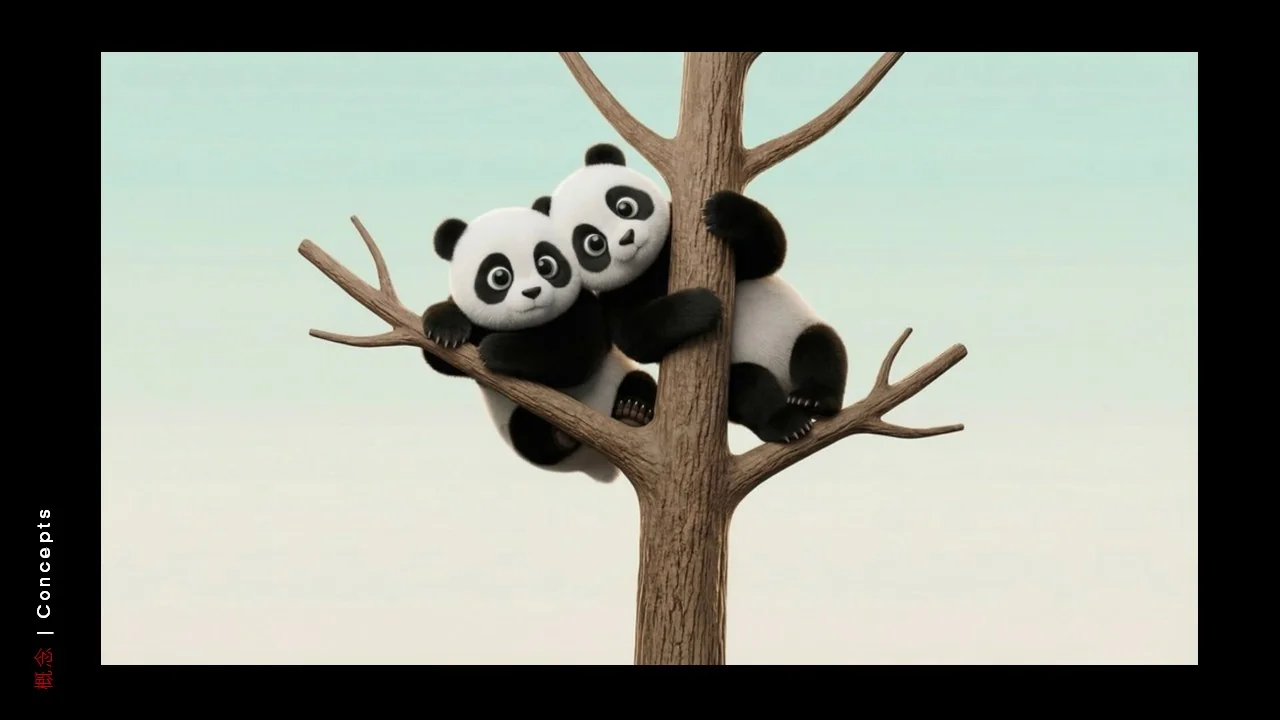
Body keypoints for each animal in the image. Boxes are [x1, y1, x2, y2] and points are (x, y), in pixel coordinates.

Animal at [419, 199, 658, 483]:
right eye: (499, 276)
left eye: (546, 265)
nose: (533, 292)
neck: (532, 325)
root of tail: (599, 466)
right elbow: (440, 357)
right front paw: (446, 330)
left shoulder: (581, 306)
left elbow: (576, 353)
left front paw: (496, 349)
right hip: (523, 422)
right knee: (528, 433)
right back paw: (562, 435)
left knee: (641, 382)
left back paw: (634, 410)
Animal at [543, 142, 789, 365]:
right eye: (594, 243)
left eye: (625, 207)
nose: (628, 237)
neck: (653, 263)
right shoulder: (617, 293)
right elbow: (634, 335)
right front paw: (701, 305)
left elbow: (765, 257)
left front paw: (721, 210)